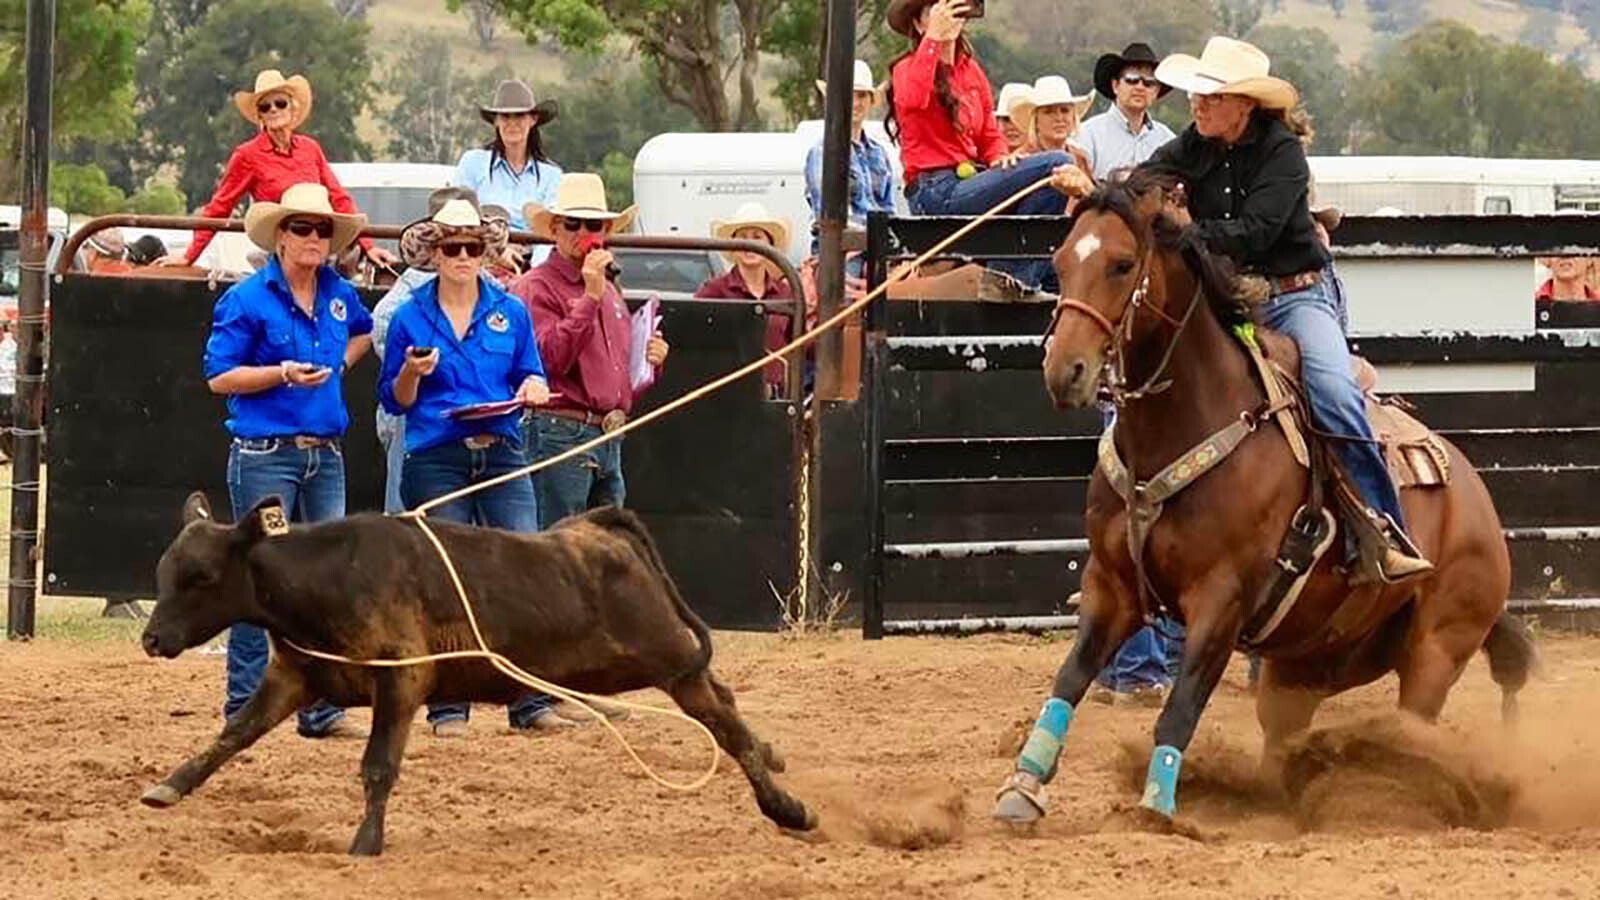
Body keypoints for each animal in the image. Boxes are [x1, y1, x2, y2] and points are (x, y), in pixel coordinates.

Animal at [137, 493, 812, 851]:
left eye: (200, 577)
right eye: (163, 572)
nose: (152, 638)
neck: (325, 577)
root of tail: (595, 530)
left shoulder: (401, 679)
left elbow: (378, 766)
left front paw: (366, 841)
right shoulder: (295, 677)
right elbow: (232, 735)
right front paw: (170, 785)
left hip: (669, 656)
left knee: (724, 723)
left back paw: (787, 807)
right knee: (724, 703)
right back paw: (776, 760)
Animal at [992, 171, 1529, 826]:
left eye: (1121, 265)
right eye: (1061, 262)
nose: (1064, 371)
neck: (1183, 426)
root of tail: (1479, 501)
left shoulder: (1221, 600)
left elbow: (1183, 704)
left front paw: (1157, 805)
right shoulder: (1111, 585)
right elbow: (1069, 680)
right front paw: (1023, 786)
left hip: (1439, 645)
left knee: (1413, 729)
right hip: (1307, 663)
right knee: (1286, 737)